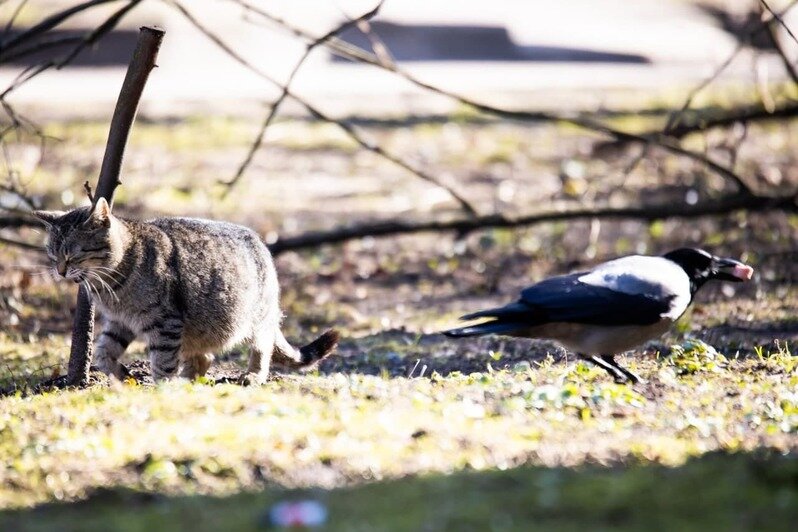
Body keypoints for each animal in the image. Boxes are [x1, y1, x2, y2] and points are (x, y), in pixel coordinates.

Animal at [34, 198, 338, 382]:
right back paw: (189, 380)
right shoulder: (119, 322)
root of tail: (260, 242)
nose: (60, 271)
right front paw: (122, 375)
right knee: (204, 357)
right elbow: (103, 352)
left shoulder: (164, 322)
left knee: (261, 350)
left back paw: (251, 376)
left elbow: (161, 362)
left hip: (259, 317)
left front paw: (161, 389)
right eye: (52, 254)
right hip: (199, 327)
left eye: (72, 255)